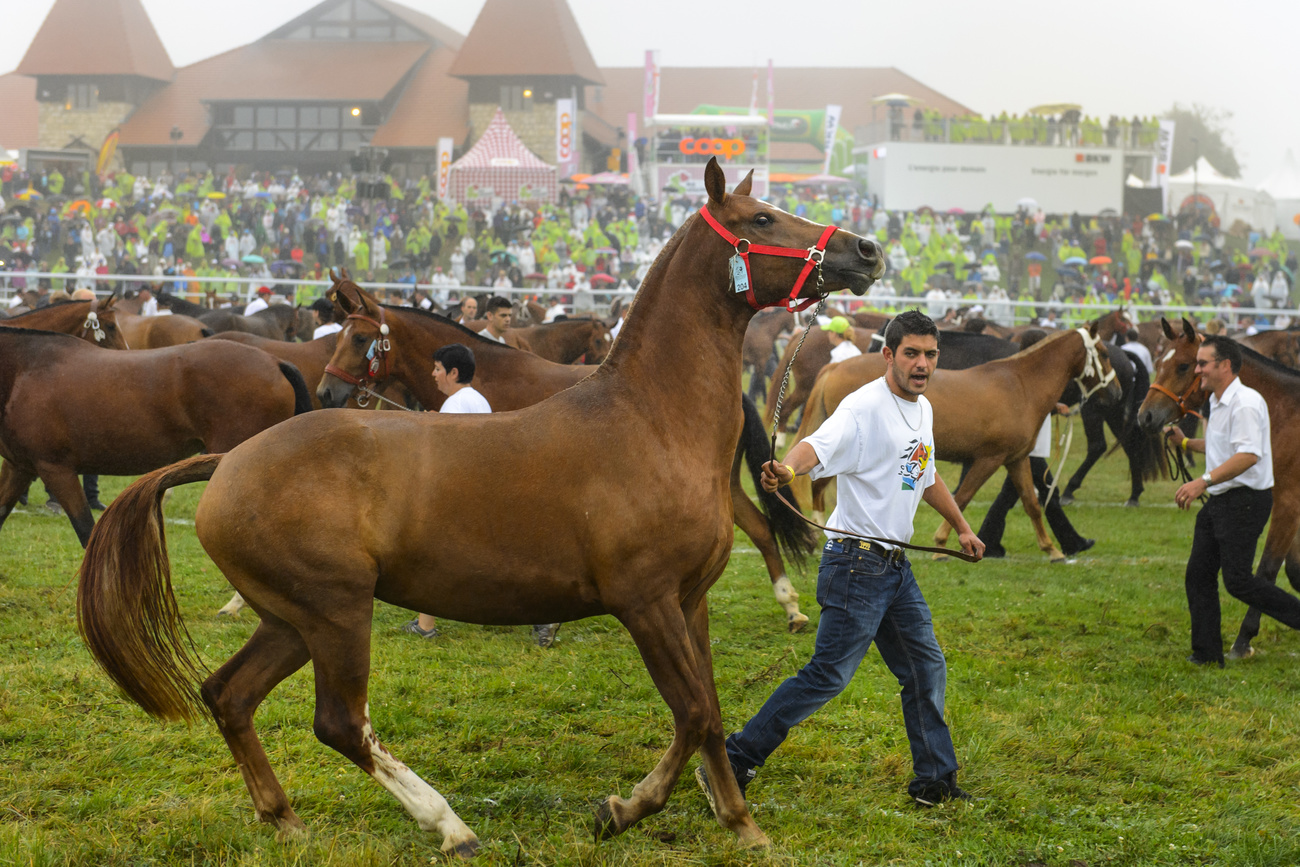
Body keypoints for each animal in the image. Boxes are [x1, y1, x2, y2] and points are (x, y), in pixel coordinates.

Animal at [73, 159, 883, 857]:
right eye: (762, 217)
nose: (867, 249)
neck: (650, 420)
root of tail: (230, 461)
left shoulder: (691, 601)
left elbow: (711, 713)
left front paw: (741, 822)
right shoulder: (645, 601)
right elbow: (693, 712)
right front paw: (623, 809)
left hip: (291, 620)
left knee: (229, 695)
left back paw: (284, 816)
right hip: (335, 613)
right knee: (339, 722)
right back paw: (448, 824)